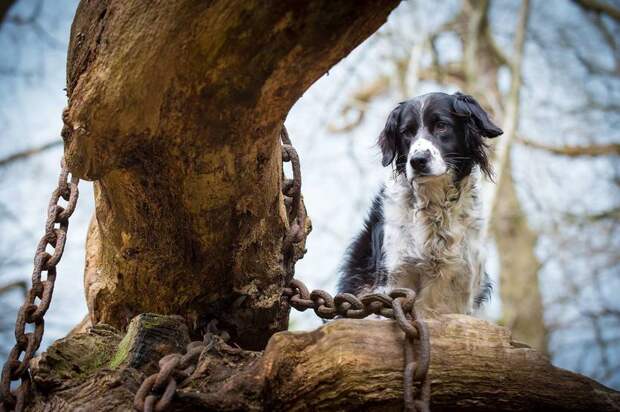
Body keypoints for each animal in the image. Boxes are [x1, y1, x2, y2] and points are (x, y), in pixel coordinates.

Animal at [340, 91, 504, 316]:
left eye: (442, 126)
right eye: (406, 132)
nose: (417, 160)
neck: (434, 206)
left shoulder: (463, 286)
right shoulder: (393, 277)